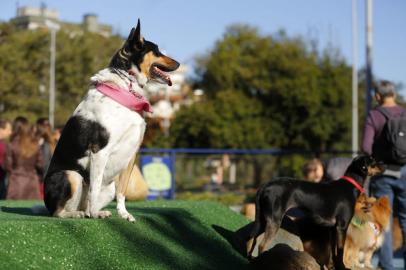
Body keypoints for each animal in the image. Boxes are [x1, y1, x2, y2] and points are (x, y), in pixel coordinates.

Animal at [42, 19, 179, 221]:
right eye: (157, 51)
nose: (179, 63)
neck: (126, 86)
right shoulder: (99, 151)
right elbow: (95, 187)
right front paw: (96, 214)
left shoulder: (131, 153)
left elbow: (122, 191)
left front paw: (124, 214)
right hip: (70, 175)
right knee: (58, 212)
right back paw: (83, 214)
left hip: (108, 189)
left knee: (85, 202)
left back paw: (87, 212)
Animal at [247, 156, 384, 268]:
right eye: (372, 161)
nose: (385, 165)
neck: (349, 185)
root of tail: (265, 185)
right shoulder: (342, 227)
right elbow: (340, 252)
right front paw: (342, 267)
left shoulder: (332, 229)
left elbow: (333, 253)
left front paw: (332, 267)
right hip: (274, 221)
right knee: (261, 245)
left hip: (263, 221)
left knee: (252, 239)